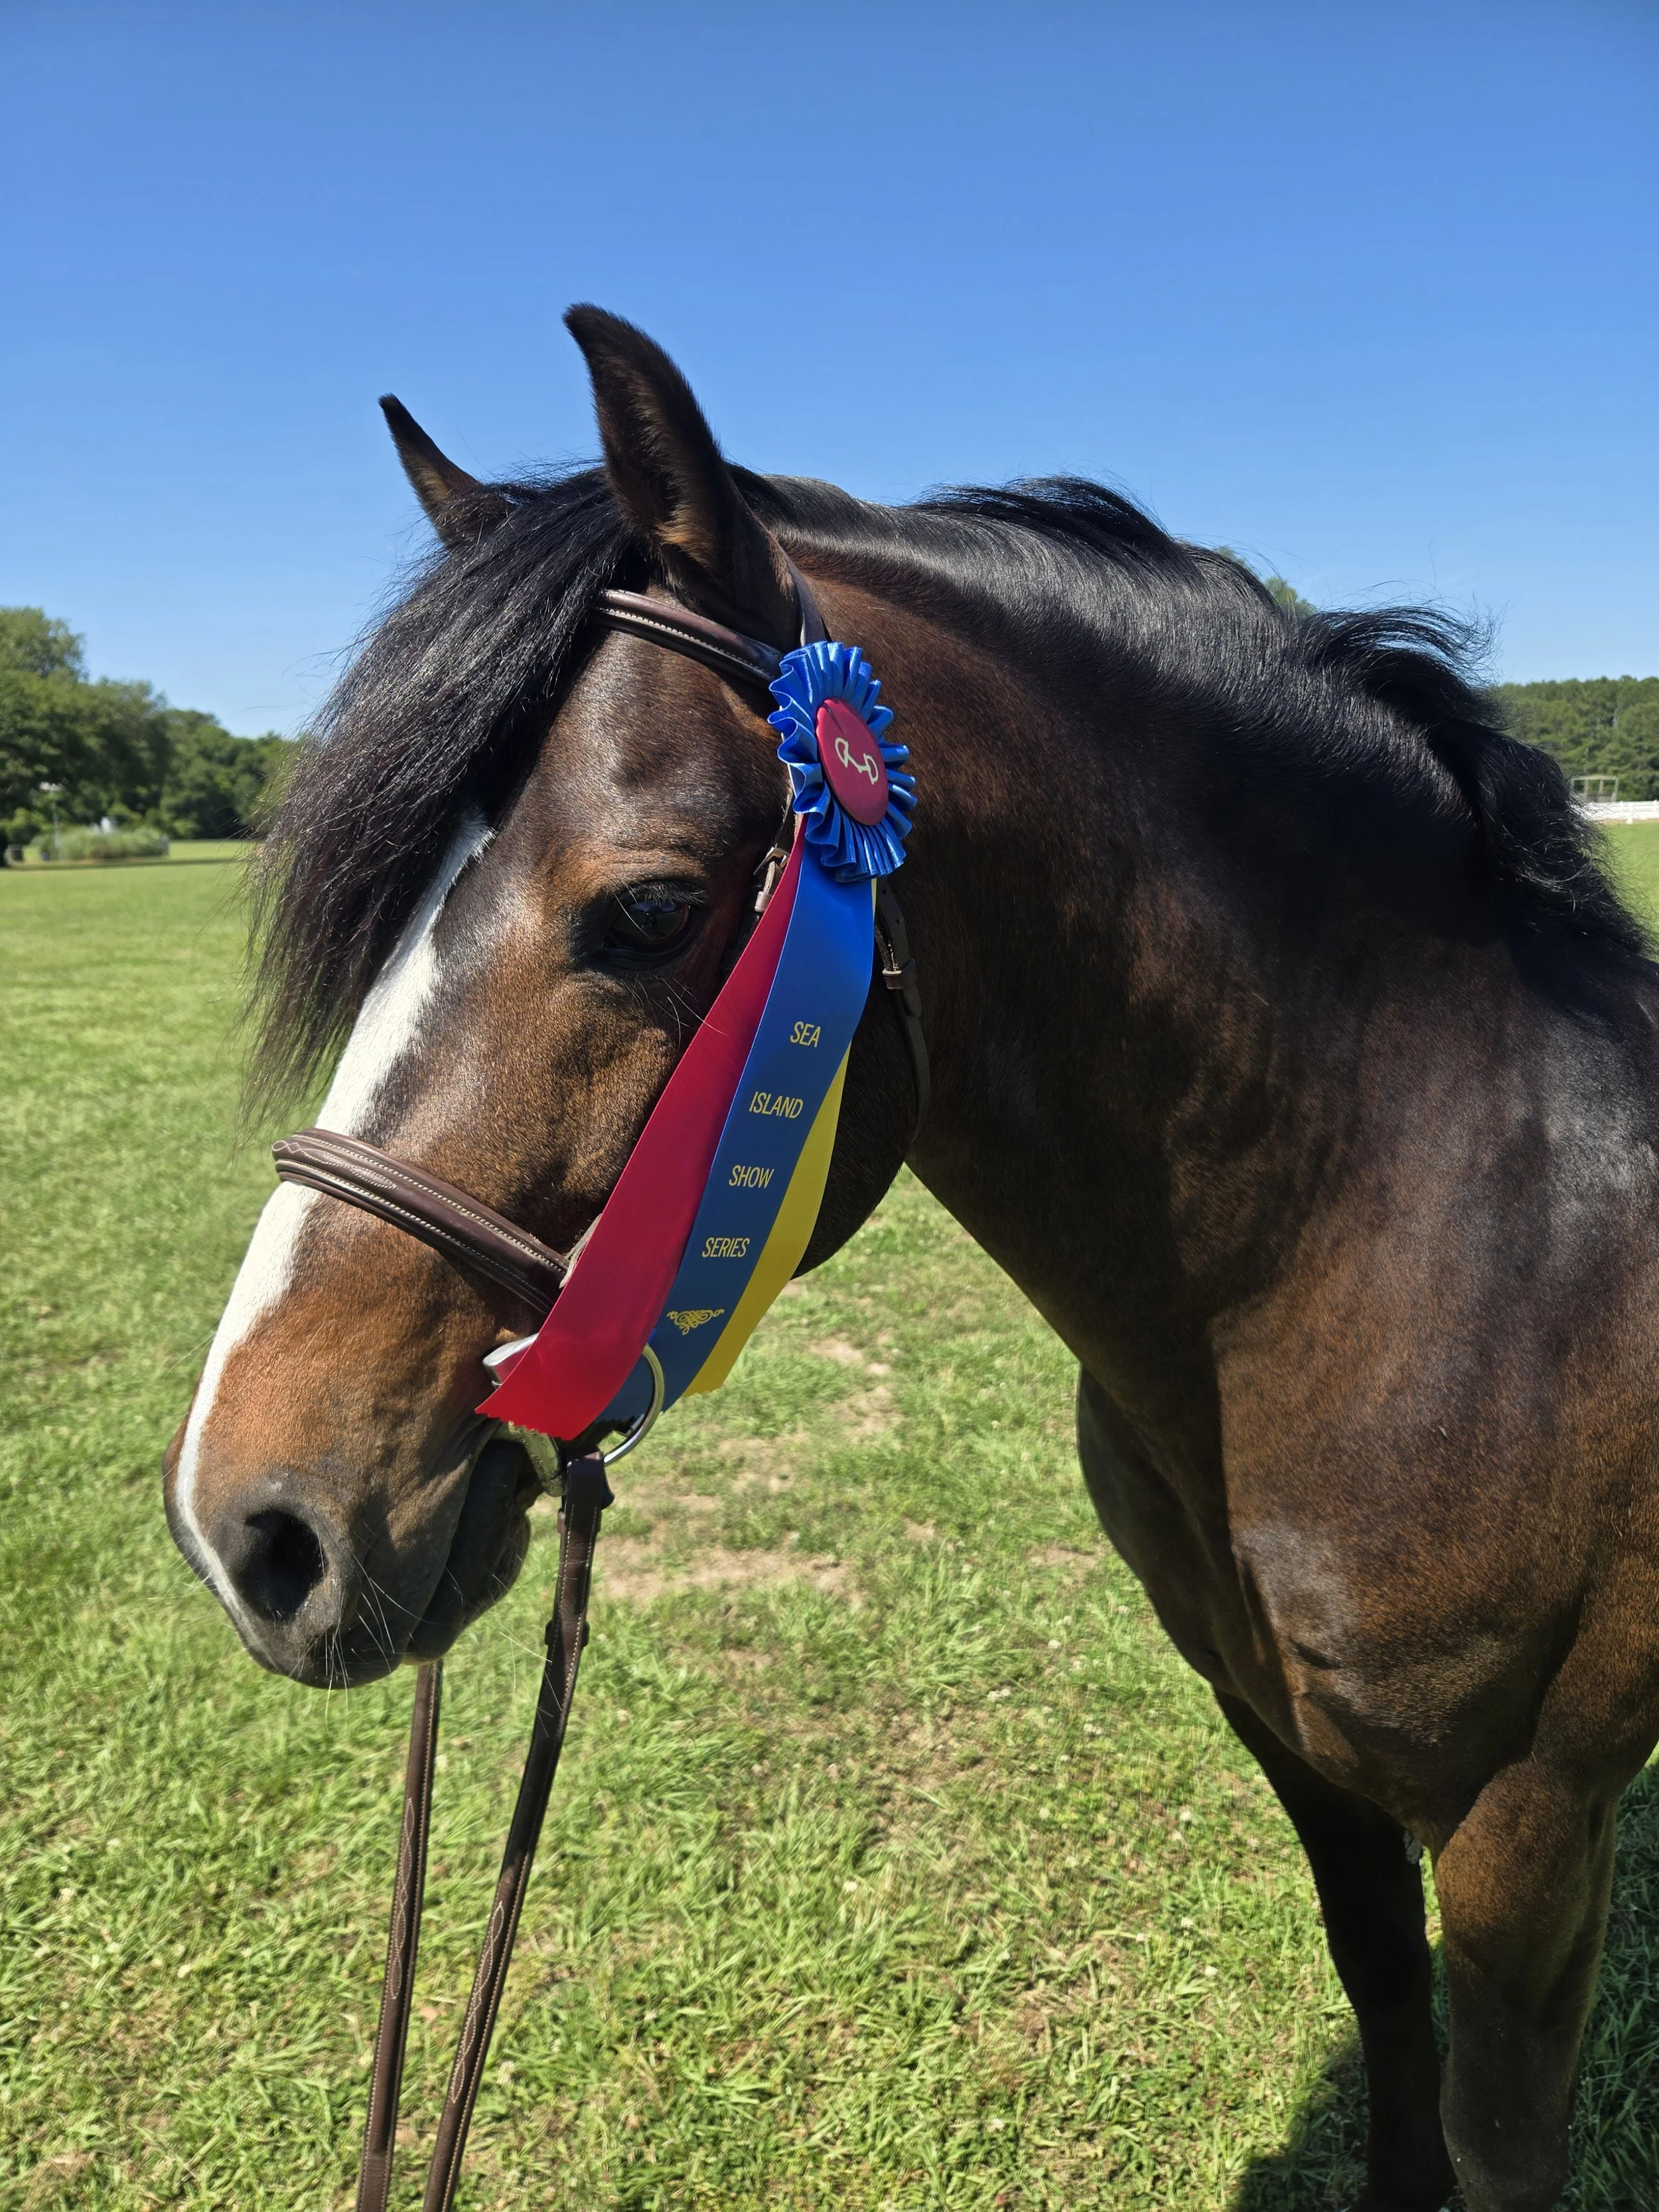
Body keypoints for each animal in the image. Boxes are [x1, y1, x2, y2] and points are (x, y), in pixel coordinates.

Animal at [165, 306, 1659, 2212]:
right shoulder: (1293, 1745)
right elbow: (1384, 2014)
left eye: (648, 910)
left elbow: (1493, 2132)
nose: (251, 1528)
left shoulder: (1528, 1822)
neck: (1429, 1250)